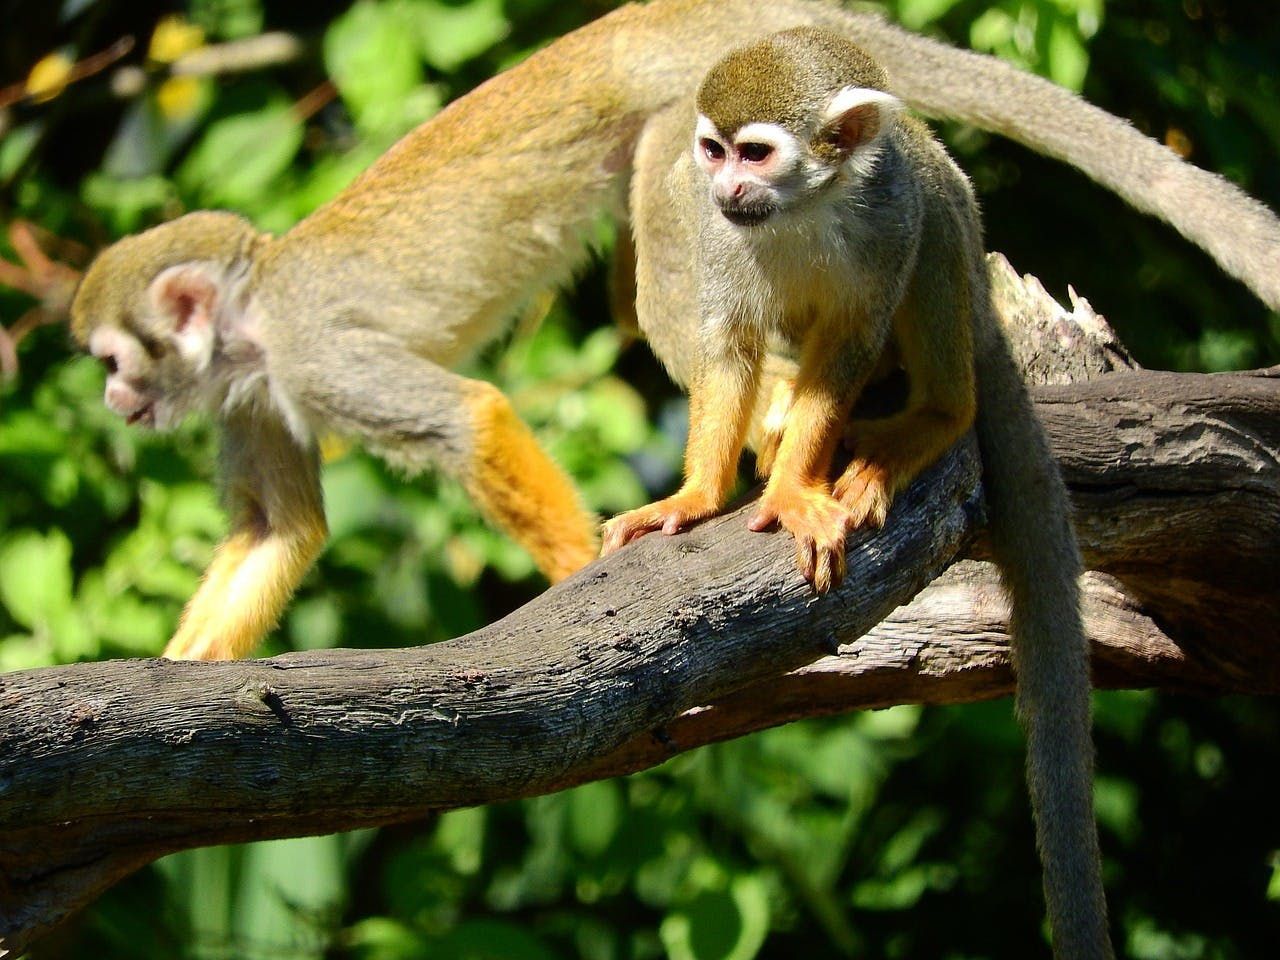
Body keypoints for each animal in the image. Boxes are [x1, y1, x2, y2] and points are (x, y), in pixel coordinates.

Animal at [70, 0, 1280, 662]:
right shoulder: (251, 395)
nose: (116, 400)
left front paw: (571, 582)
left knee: (672, 278)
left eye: (116, 360)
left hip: (673, 138)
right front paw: (180, 672)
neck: (249, 326)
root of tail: (645, 27)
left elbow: (470, 416)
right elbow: (279, 530)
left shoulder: (313, 356)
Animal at [601, 27, 1113, 958]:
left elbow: (852, 333)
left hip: (948, 244)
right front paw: (694, 496)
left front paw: (797, 490)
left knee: (940, 237)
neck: (801, 208)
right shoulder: (713, 231)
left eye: (757, 153)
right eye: (713, 150)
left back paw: (933, 419)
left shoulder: (888, 210)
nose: (726, 187)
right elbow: (725, 343)